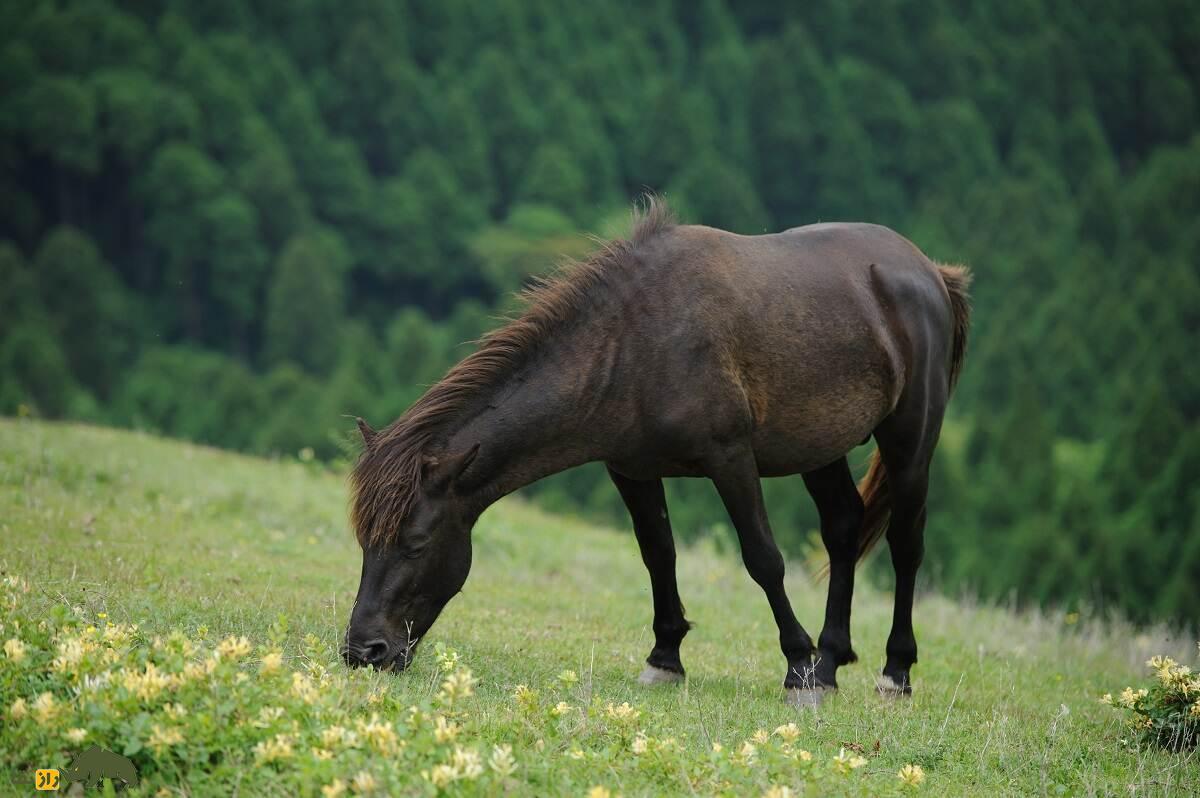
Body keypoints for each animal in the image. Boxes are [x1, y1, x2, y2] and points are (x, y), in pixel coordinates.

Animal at [343, 198, 969, 705]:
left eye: (416, 543)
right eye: (364, 540)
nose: (364, 651)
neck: (635, 344)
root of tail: (930, 273)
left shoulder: (730, 460)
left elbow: (763, 558)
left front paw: (795, 664)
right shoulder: (631, 470)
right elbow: (657, 555)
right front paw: (665, 659)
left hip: (910, 440)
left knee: (906, 544)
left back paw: (893, 672)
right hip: (819, 448)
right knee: (843, 529)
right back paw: (831, 661)